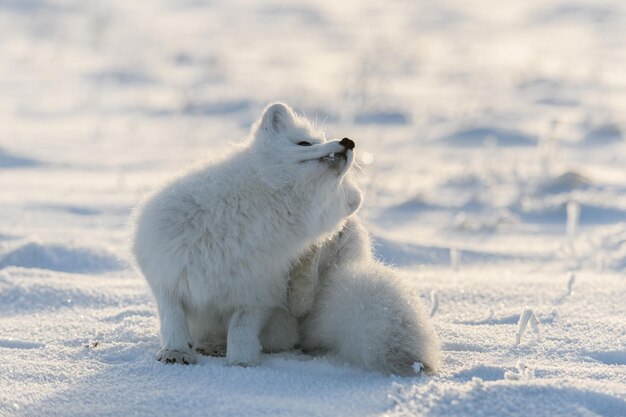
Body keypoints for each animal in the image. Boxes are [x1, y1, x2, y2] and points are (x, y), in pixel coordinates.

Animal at [129, 102, 358, 366]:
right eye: (304, 143)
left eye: (339, 185)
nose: (348, 141)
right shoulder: (165, 269)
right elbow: (172, 316)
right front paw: (175, 352)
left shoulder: (258, 294)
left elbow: (241, 330)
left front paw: (241, 364)